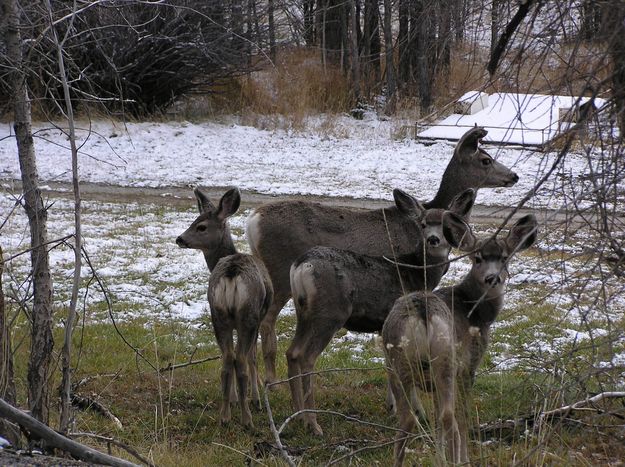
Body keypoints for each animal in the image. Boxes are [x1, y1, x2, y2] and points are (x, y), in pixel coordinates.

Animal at [176, 188, 272, 430]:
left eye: (200, 226)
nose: (179, 238)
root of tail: (231, 272)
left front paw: (236, 399)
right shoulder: (257, 319)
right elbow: (252, 356)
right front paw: (255, 398)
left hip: (217, 314)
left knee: (227, 359)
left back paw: (225, 416)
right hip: (248, 315)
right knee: (241, 360)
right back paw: (247, 419)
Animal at [246, 126, 520, 386]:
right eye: (486, 159)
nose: (514, 176)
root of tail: (252, 222)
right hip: (280, 272)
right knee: (266, 322)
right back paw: (269, 380)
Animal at [284, 187, 472, 436]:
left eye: (445, 225)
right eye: (423, 224)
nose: (433, 239)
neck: (417, 274)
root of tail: (302, 265)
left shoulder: (384, 325)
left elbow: (388, 365)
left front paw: (392, 406)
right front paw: (418, 412)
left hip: (302, 311)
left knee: (292, 352)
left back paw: (297, 414)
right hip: (330, 312)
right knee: (307, 356)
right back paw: (312, 423)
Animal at [380, 214, 536, 466]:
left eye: (504, 257)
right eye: (477, 258)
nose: (493, 278)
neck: (476, 311)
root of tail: (422, 311)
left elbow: (435, 420)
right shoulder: (468, 366)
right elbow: (464, 417)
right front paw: (463, 458)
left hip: (396, 360)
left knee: (408, 420)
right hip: (447, 359)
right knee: (449, 416)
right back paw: (451, 460)